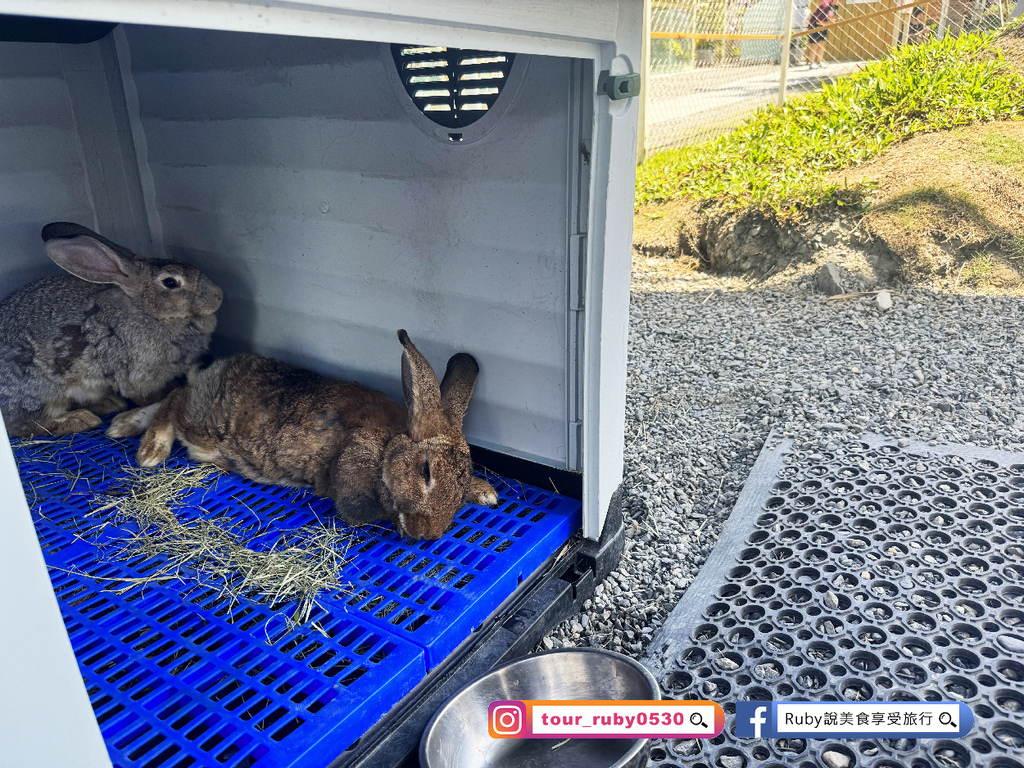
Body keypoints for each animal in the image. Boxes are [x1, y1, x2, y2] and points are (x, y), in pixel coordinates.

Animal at [0, 225, 223, 436]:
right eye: (170, 282)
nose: (219, 295)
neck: (147, 311)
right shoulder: (137, 377)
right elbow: (148, 396)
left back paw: (110, 403)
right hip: (40, 393)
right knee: (26, 425)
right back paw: (83, 419)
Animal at [110, 331, 497, 540]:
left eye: (459, 488)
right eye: (425, 471)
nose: (426, 535)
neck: (389, 445)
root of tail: (215, 369)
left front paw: (486, 492)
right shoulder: (355, 462)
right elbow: (362, 508)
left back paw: (124, 423)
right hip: (204, 427)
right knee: (175, 399)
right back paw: (149, 448)